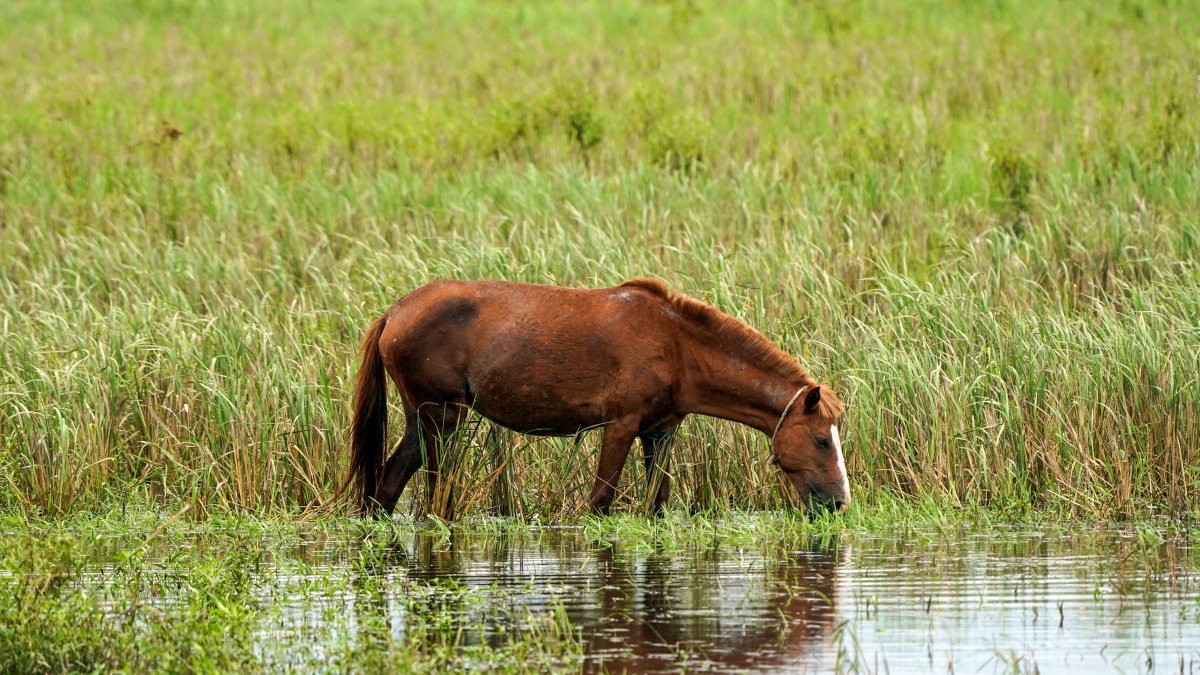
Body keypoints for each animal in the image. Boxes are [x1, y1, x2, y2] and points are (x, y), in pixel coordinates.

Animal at [339, 278, 848, 518]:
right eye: (822, 440)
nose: (840, 502)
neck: (676, 344)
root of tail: (395, 312)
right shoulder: (620, 427)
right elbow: (600, 501)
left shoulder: (660, 433)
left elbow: (657, 504)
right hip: (442, 421)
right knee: (433, 495)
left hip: (422, 421)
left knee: (387, 488)